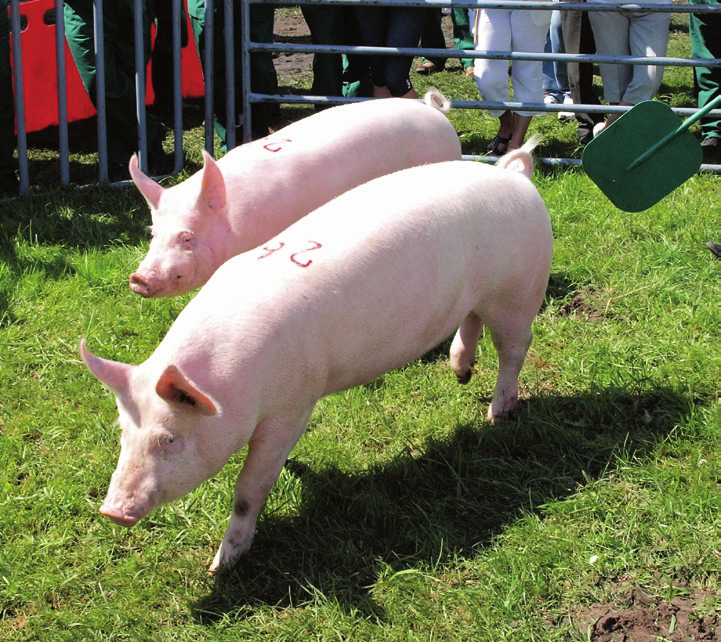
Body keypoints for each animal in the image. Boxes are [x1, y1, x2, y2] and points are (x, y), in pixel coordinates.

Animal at [81, 142, 552, 572]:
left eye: (169, 438)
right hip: (481, 295)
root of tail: (515, 177)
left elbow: (249, 488)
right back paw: (460, 374)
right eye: (122, 433)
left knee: (514, 349)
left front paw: (221, 566)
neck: (235, 386)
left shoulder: (294, 402)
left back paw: (497, 415)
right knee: (471, 322)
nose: (112, 510)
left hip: (518, 292)